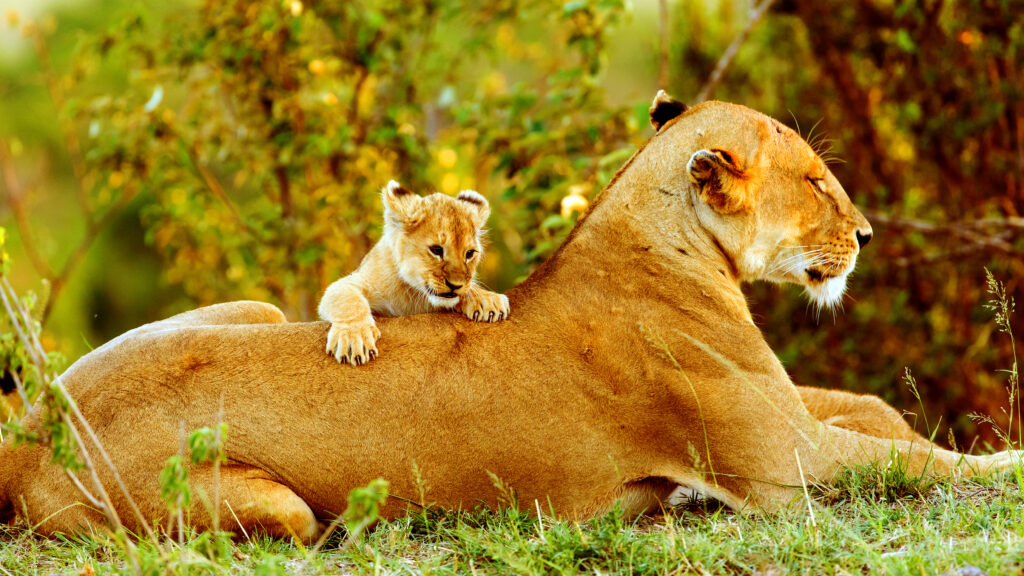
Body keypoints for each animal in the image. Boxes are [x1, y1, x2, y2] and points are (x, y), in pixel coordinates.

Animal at [319, 180, 509, 364]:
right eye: (436, 250)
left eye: (469, 254)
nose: (455, 285)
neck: (411, 293)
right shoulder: (353, 281)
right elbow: (348, 300)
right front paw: (354, 338)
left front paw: (488, 299)